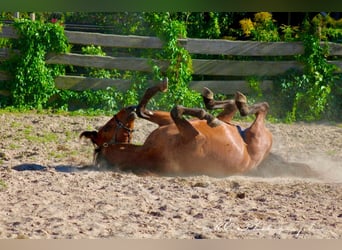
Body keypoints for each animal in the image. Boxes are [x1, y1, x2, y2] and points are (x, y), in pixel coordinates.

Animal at [80, 78, 272, 176]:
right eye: (107, 128)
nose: (128, 109)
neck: (146, 152)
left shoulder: (167, 124)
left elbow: (144, 110)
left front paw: (159, 87)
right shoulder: (196, 137)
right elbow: (176, 110)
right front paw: (207, 117)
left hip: (229, 119)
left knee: (231, 107)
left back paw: (212, 99)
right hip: (257, 136)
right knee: (261, 109)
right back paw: (239, 104)